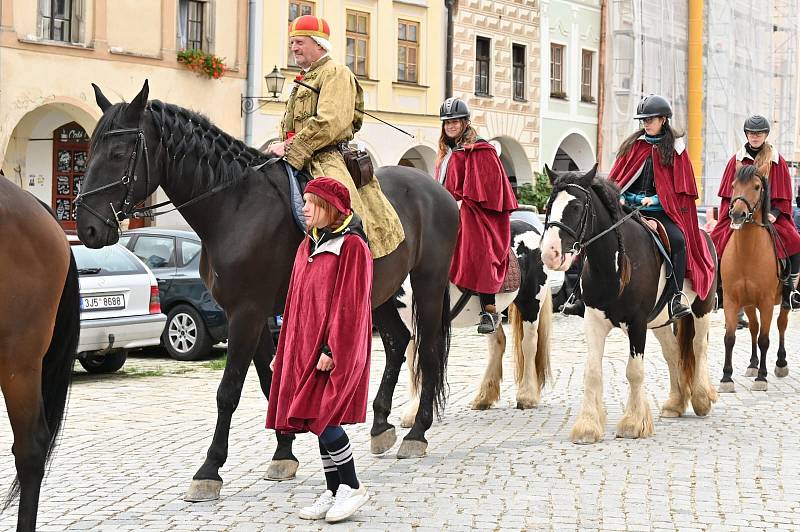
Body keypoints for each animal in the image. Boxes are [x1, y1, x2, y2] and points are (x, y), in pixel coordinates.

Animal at [78, 81, 460, 500]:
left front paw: (210, 469)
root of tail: (436, 189)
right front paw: (284, 451)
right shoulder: (252, 313)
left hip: (428, 283)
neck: (235, 205)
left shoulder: (246, 313)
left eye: (118, 153)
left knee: (428, 351)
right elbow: (266, 380)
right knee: (396, 341)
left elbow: (229, 390)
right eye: (90, 148)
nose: (87, 229)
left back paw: (417, 432)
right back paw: (380, 426)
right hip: (377, 293)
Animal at [720, 164, 788, 392]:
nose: (737, 214)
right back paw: (752, 364)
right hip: (749, 304)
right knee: (753, 327)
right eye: (733, 185)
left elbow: (764, 339)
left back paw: (781, 363)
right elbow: (730, 338)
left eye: (757, 186)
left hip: (783, 302)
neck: (747, 252)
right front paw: (726, 378)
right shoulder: (731, 300)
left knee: (781, 324)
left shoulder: (766, 302)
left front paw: (762, 377)